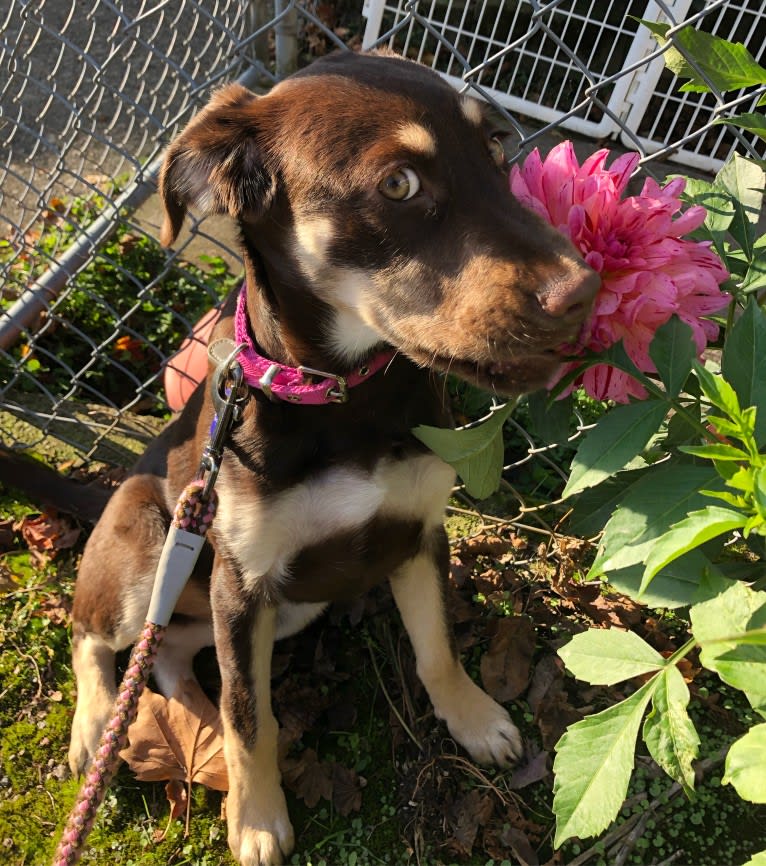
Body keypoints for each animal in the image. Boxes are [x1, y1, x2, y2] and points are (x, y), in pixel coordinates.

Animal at [69, 52, 600, 864]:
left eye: (496, 149)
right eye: (398, 185)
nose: (586, 292)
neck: (340, 394)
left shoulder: (416, 532)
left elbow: (437, 648)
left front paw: (475, 719)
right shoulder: (242, 582)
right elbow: (252, 715)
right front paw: (257, 818)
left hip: (274, 607)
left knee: (174, 656)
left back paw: (196, 728)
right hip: (151, 547)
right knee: (98, 634)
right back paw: (101, 723)